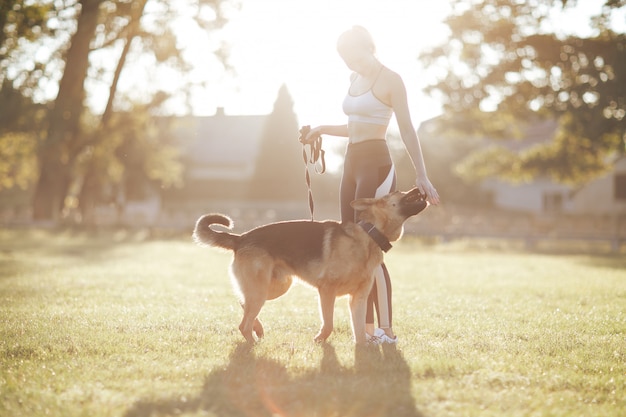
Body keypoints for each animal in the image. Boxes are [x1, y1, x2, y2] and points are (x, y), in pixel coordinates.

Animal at [191, 187, 424, 342]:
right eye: (399, 191)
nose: (418, 188)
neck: (369, 235)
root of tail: (240, 238)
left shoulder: (358, 299)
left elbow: (359, 333)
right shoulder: (327, 291)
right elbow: (328, 324)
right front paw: (320, 341)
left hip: (275, 288)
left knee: (243, 304)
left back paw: (258, 329)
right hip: (262, 291)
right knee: (243, 324)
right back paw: (253, 346)